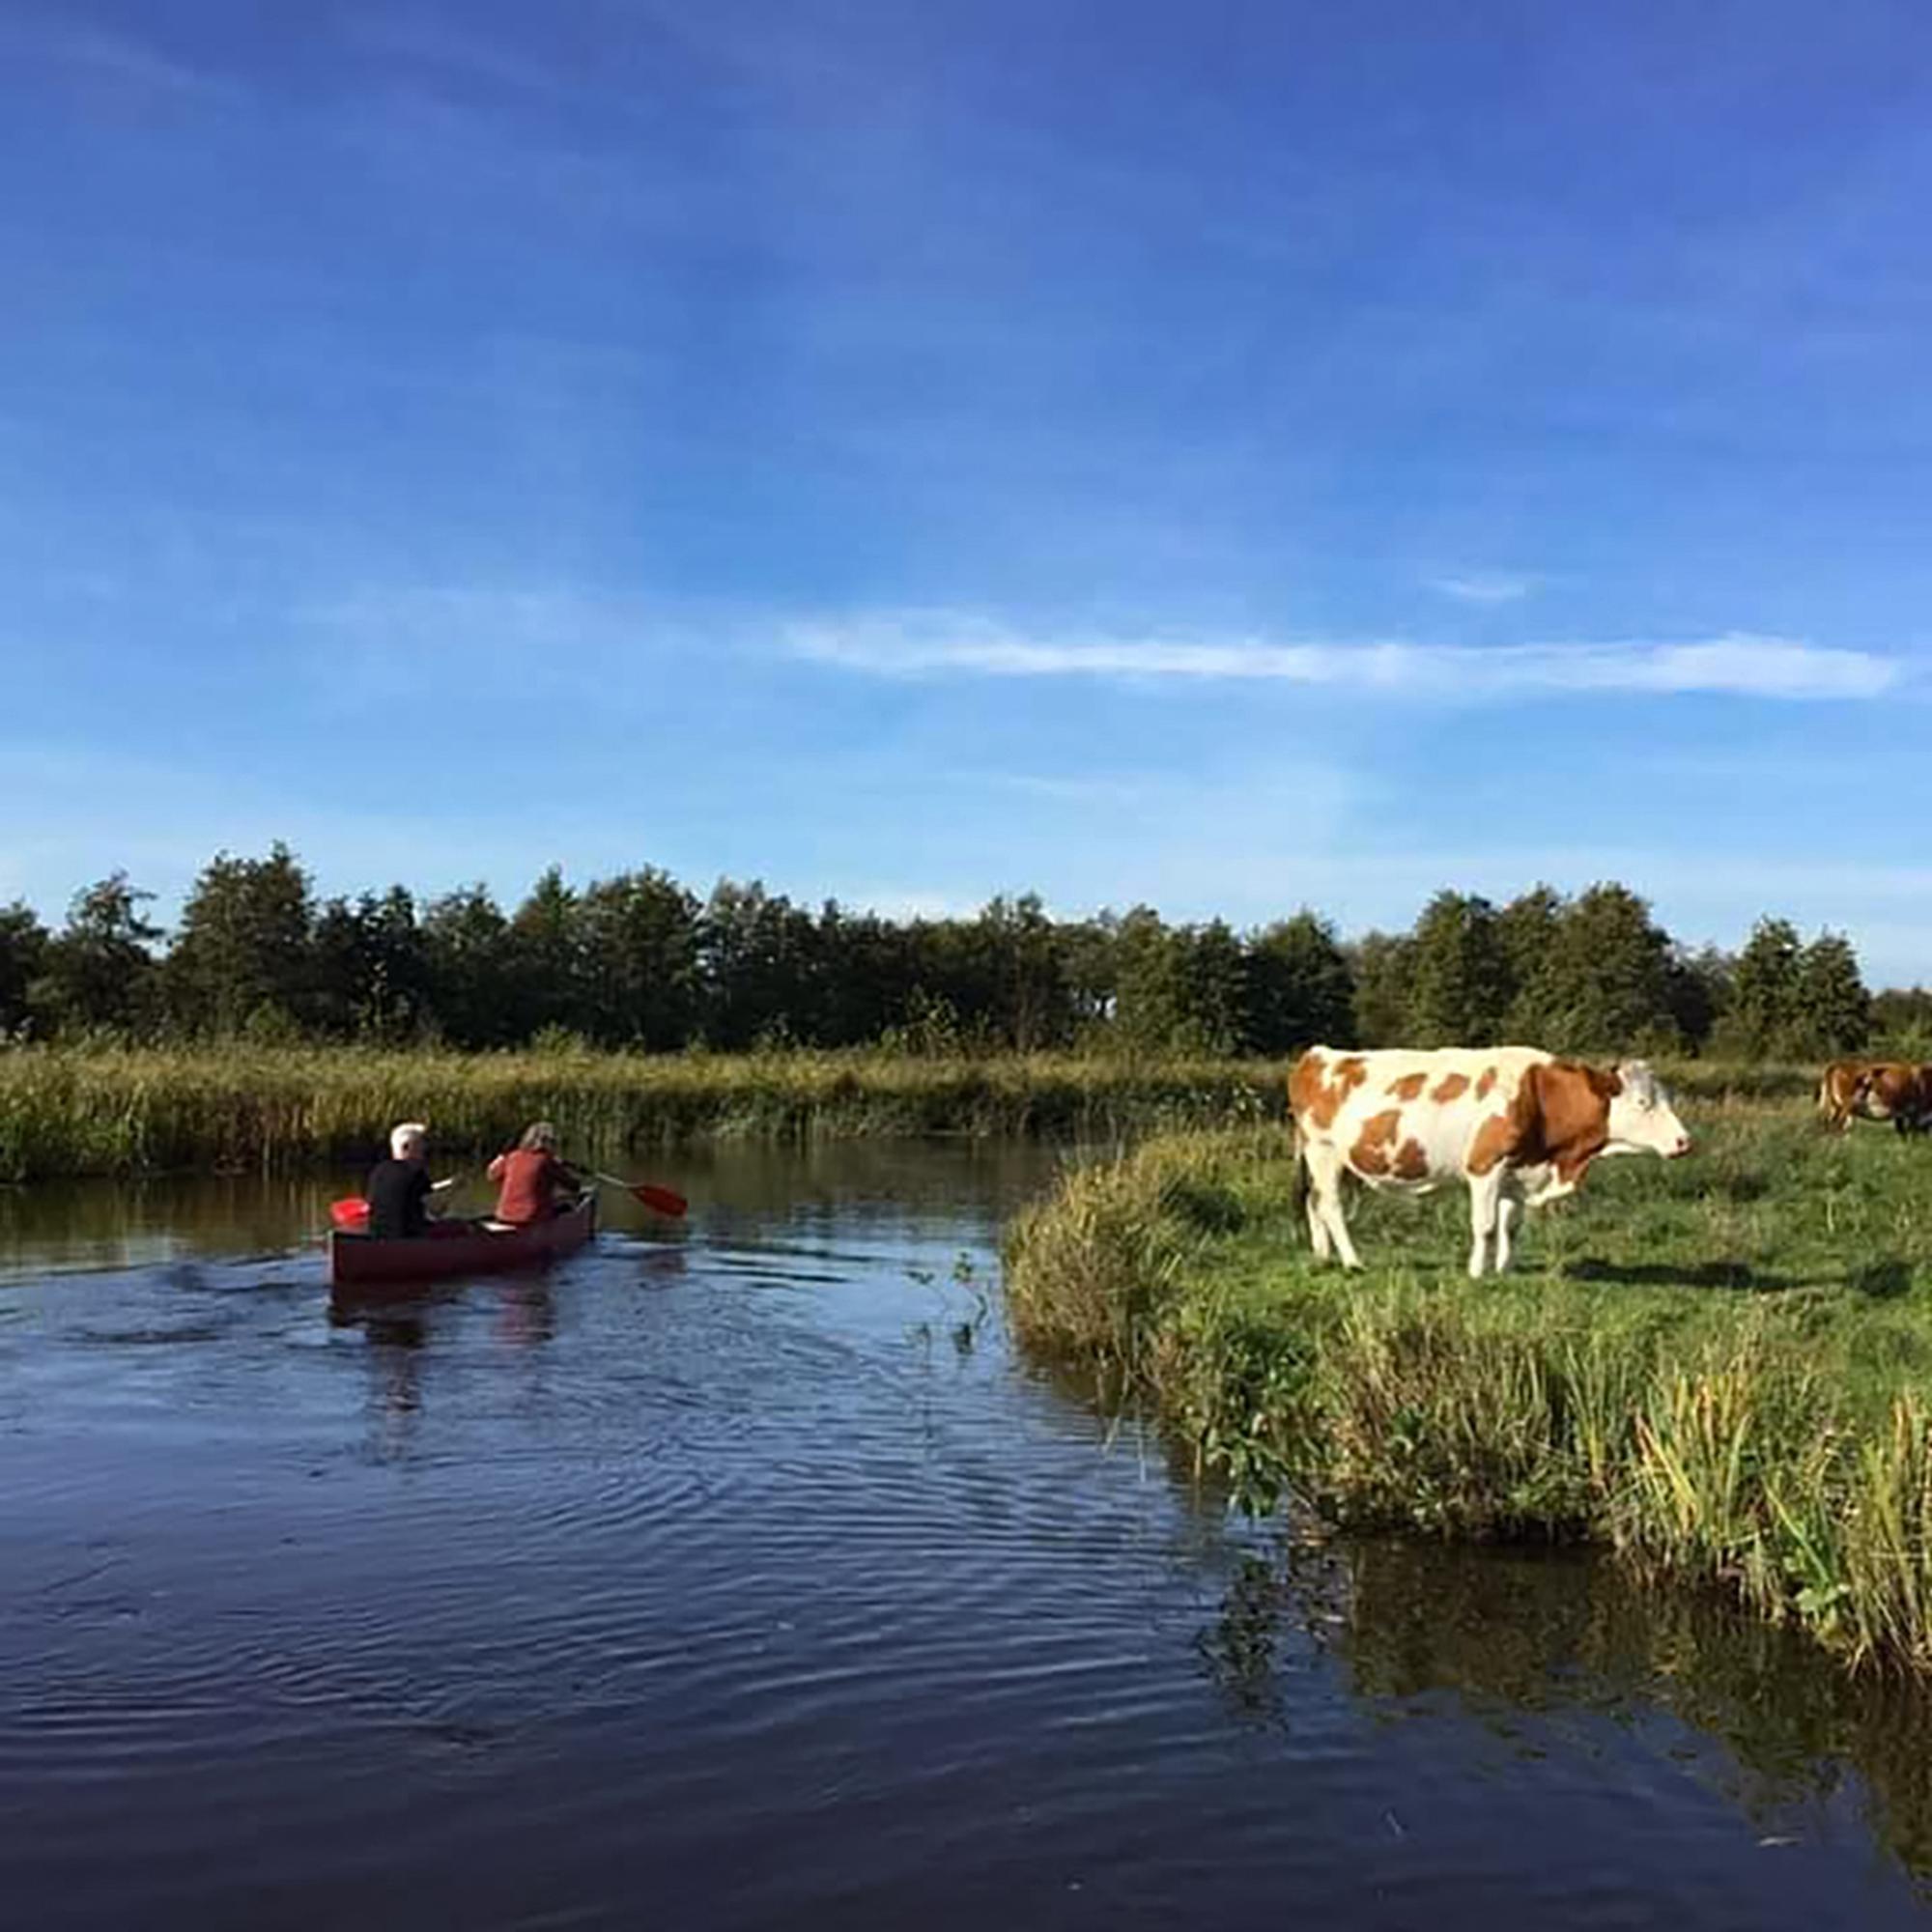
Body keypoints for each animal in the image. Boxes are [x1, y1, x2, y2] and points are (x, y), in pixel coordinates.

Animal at [1288, 1045, 1693, 1279]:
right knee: (1331, 1206)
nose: (1684, 1141)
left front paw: (1503, 1269)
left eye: (1666, 1097)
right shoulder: (1485, 1167)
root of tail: (1318, 1055)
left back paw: (1323, 1256)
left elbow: (1510, 1226)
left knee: (1314, 1202)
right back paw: (1353, 1262)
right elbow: (1484, 1225)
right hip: (1322, 1152)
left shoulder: (1517, 1173)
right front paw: (1477, 1272)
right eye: (1643, 1103)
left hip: (1338, 1161)